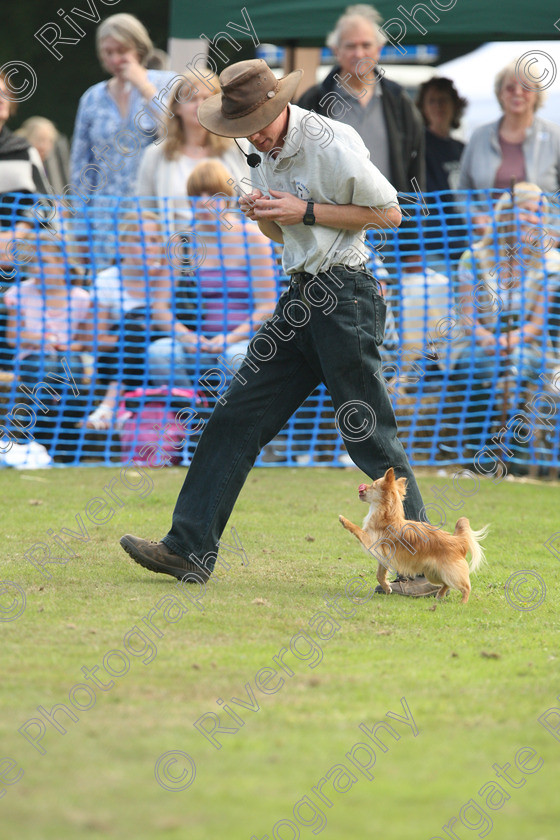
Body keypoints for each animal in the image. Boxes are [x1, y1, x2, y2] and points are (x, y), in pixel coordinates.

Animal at [340, 466, 488, 604]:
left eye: (373, 486)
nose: (362, 488)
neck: (388, 517)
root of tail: (458, 540)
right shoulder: (383, 557)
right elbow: (380, 575)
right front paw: (387, 588)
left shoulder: (370, 541)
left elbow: (357, 530)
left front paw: (344, 520)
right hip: (433, 573)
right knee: (446, 584)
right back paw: (440, 594)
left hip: (450, 573)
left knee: (466, 587)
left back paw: (462, 602)